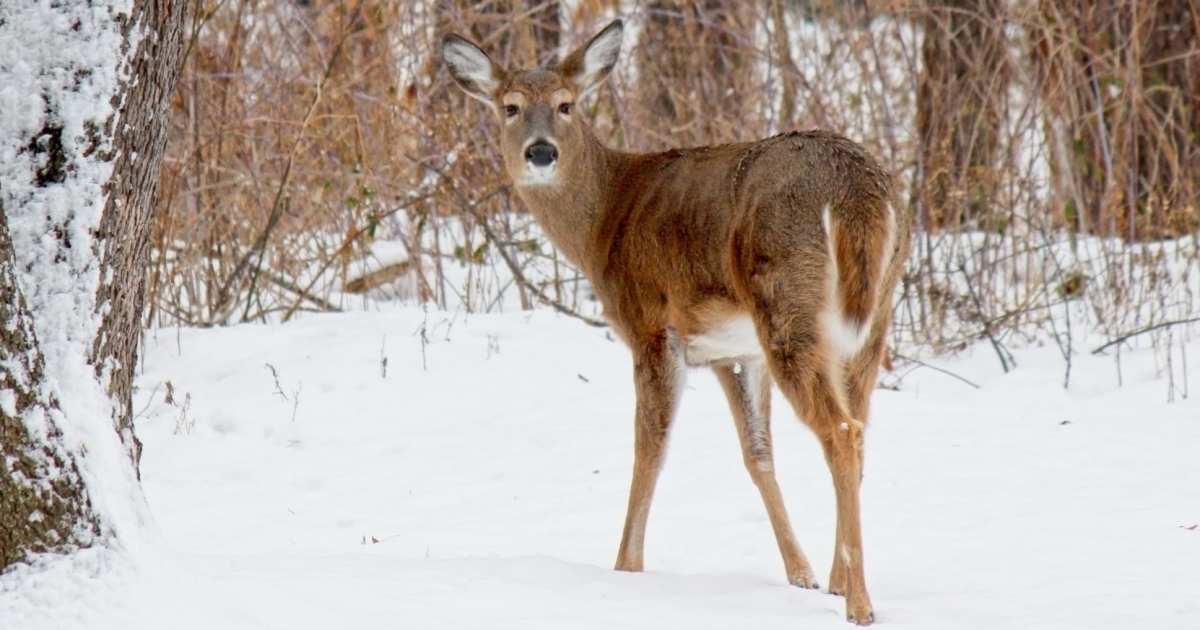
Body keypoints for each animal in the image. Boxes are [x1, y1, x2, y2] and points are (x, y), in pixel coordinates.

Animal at [444, 19, 907, 624]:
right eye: (510, 106)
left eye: (567, 104)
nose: (540, 152)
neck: (602, 221)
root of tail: (855, 191)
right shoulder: (729, 350)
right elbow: (757, 453)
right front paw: (800, 574)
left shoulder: (649, 324)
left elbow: (650, 448)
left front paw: (624, 568)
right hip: (871, 318)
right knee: (859, 424)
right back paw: (837, 581)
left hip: (785, 298)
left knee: (844, 430)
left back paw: (859, 604)